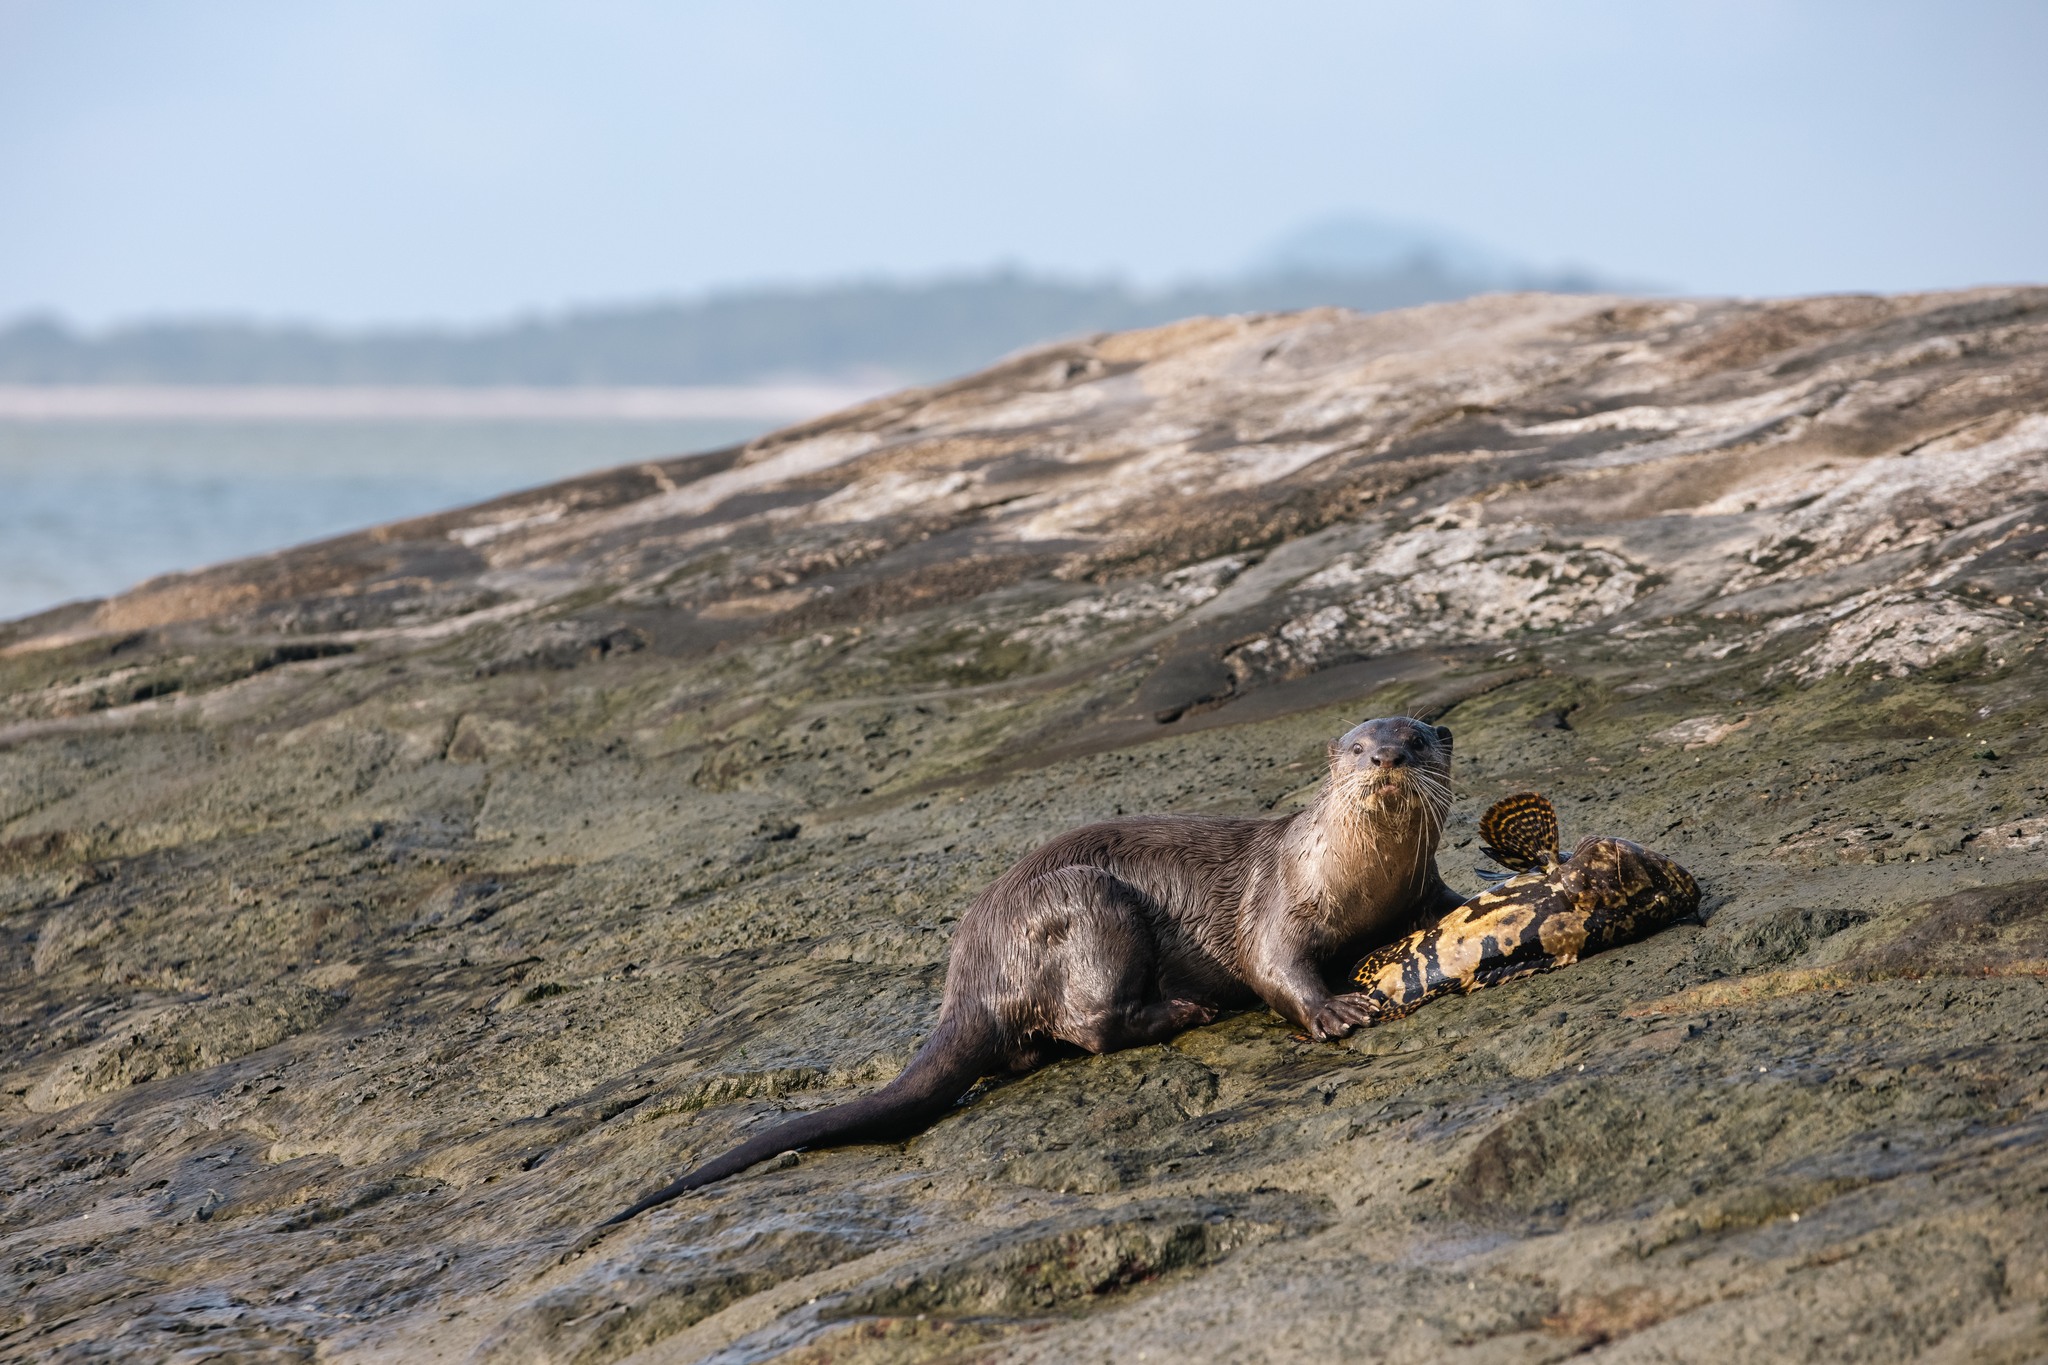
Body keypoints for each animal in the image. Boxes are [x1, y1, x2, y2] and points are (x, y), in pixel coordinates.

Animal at [578, 715, 1458, 1250]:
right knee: (1094, 1022)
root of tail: (972, 970)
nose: (1385, 759)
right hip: (1088, 907)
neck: (1355, 883)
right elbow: (1277, 970)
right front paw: (1337, 1007)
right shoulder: (1276, 905)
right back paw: (1183, 1008)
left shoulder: (1421, 891)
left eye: (1415, 739)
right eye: (1358, 748)